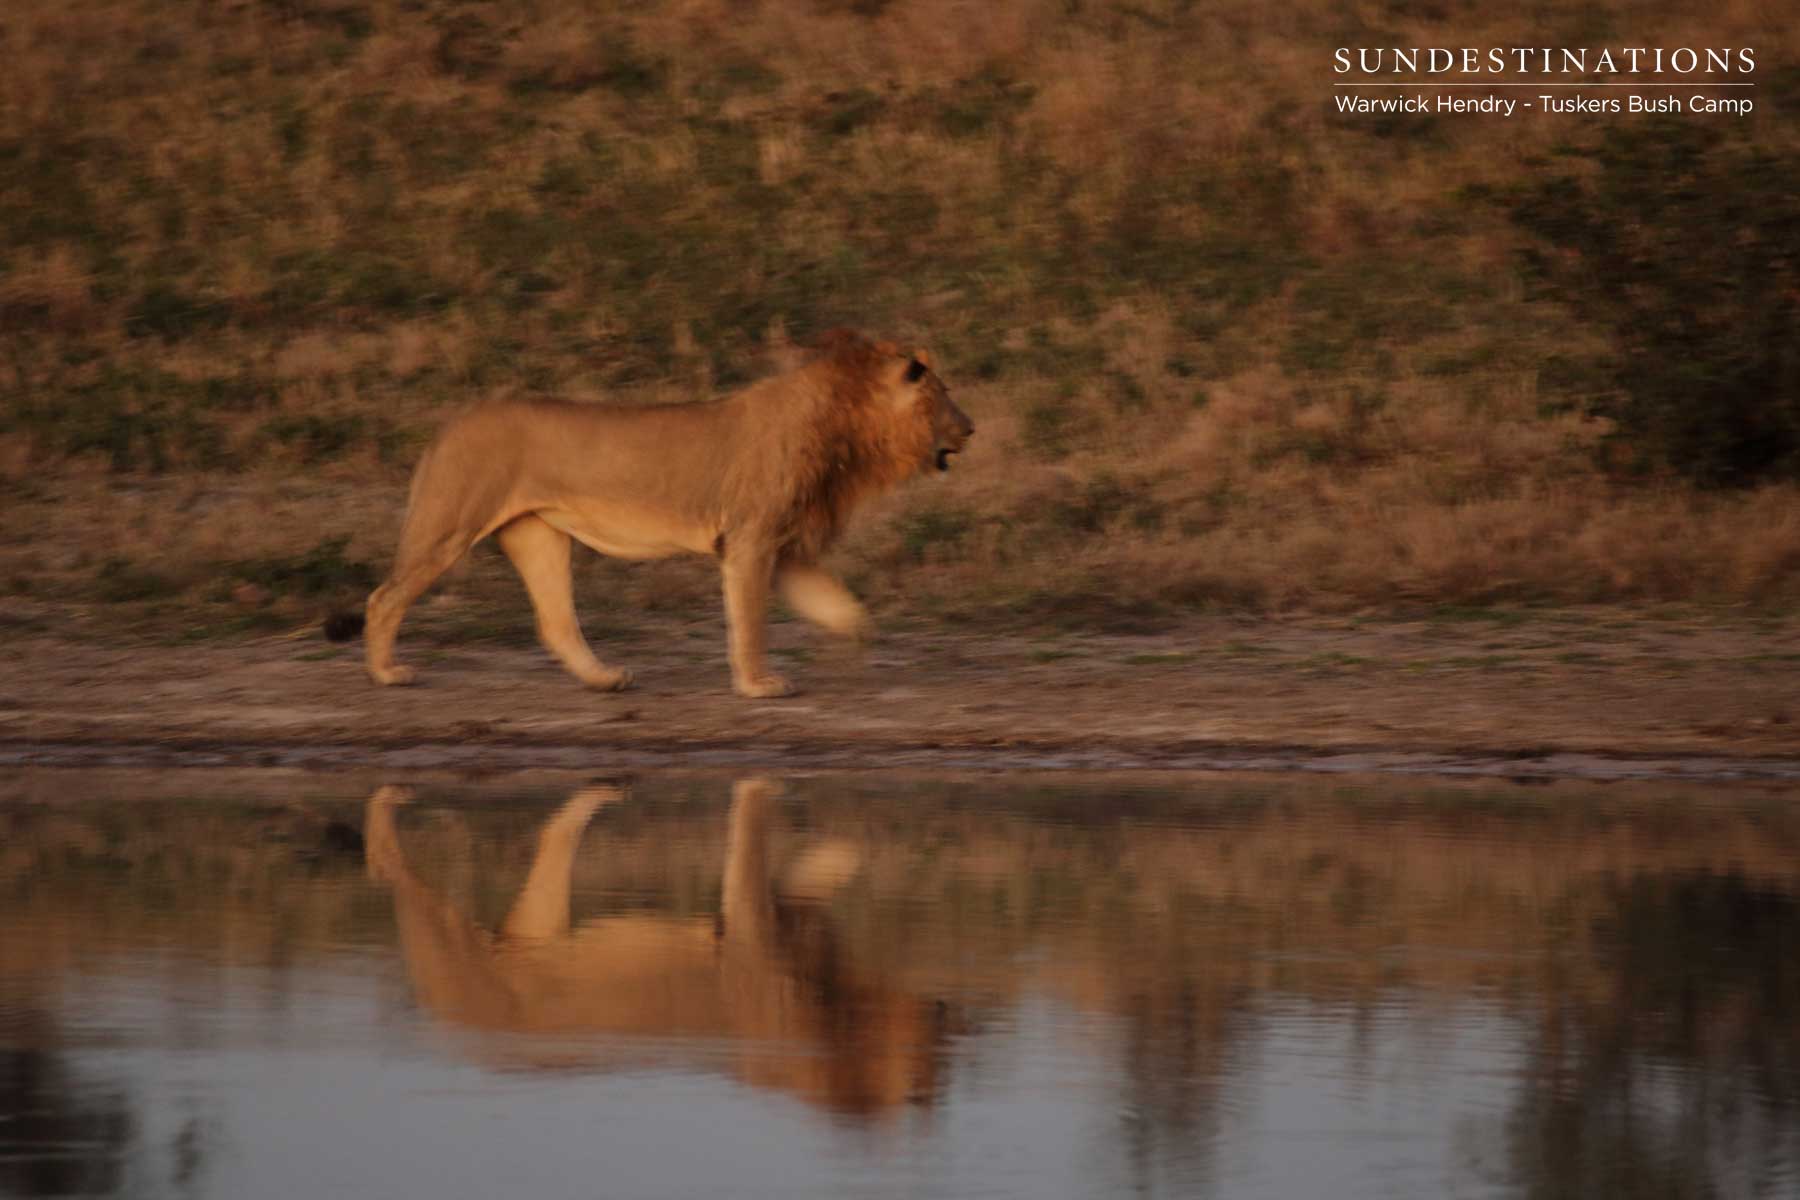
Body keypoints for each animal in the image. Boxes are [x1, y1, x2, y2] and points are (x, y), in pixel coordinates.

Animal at [326, 331, 973, 697]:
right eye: (943, 395)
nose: (970, 428)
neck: (848, 430)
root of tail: (452, 422)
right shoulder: (751, 538)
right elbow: (750, 621)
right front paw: (758, 685)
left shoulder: (782, 545)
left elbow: (838, 604)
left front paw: (858, 644)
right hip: (450, 522)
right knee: (384, 597)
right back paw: (386, 674)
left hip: (538, 535)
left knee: (556, 622)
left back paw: (606, 679)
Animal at [363, 778, 951, 1117]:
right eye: (929, 1064)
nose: (946, 1012)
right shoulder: (748, 927)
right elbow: (751, 842)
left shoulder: (792, 919)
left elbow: (817, 871)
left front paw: (850, 849)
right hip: (452, 947)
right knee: (401, 881)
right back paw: (385, 814)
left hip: (534, 929)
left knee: (552, 840)